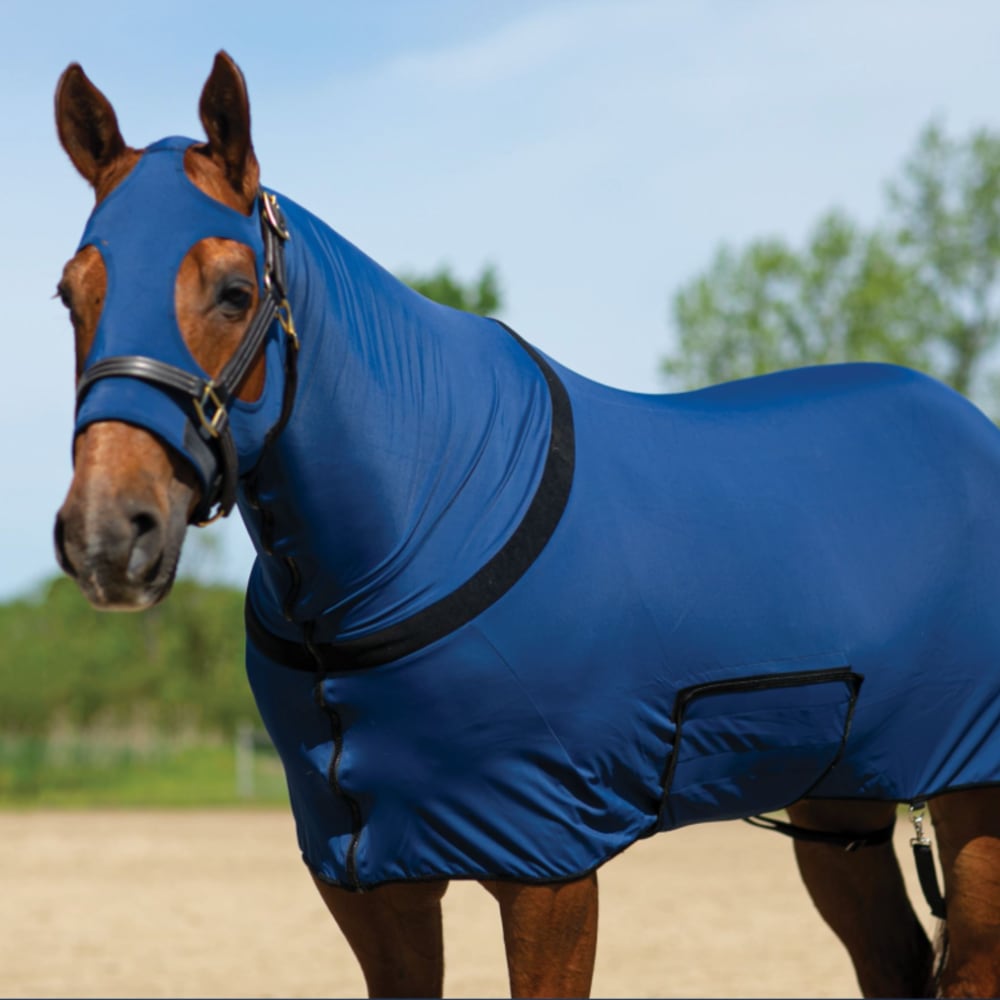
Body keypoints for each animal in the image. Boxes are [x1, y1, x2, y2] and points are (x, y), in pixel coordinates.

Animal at [51, 51, 1000, 998]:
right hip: (837, 794)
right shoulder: (367, 871)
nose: (107, 537)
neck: (417, 521)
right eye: (72, 293)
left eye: (235, 290)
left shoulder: (547, 863)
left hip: (970, 794)